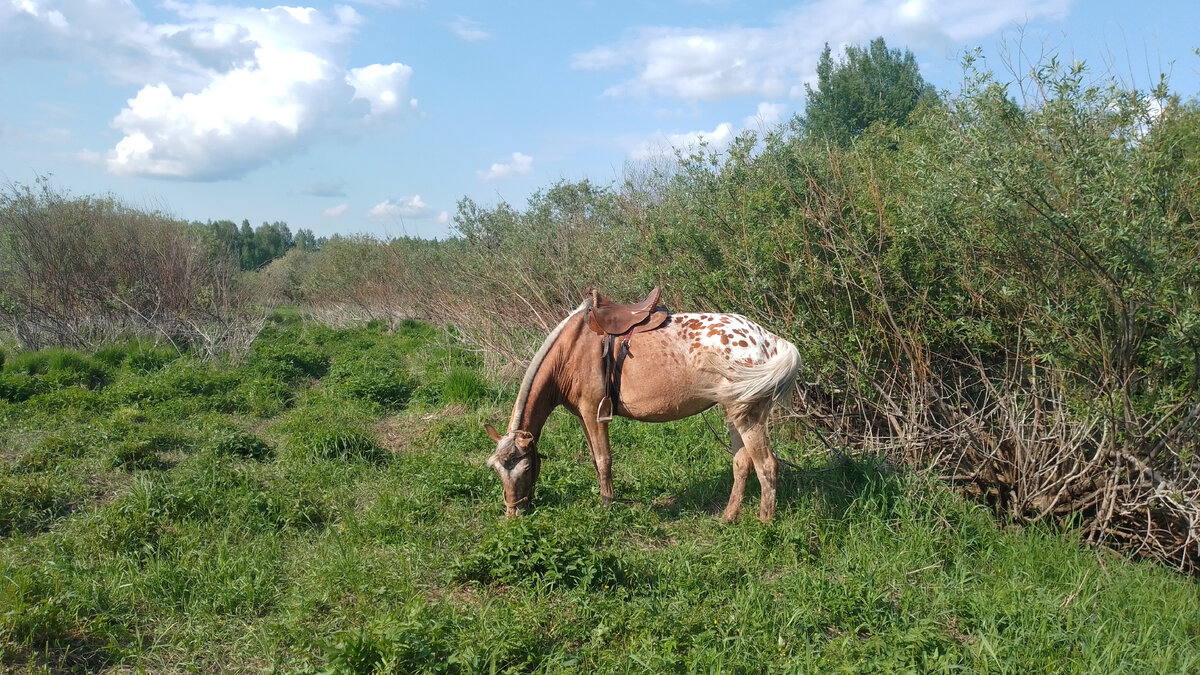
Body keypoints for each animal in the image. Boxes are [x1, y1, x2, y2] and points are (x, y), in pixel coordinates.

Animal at [482, 290, 801, 521]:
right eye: (496, 470)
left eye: (525, 467)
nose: (514, 512)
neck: (570, 351)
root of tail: (768, 339)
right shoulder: (582, 416)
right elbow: (595, 459)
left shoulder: (594, 412)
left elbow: (603, 459)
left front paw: (607, 504)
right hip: (733, 413)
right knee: (742, 463)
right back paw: (728, 518)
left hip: (749, 416)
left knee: (767, 465)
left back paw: (764, 525)